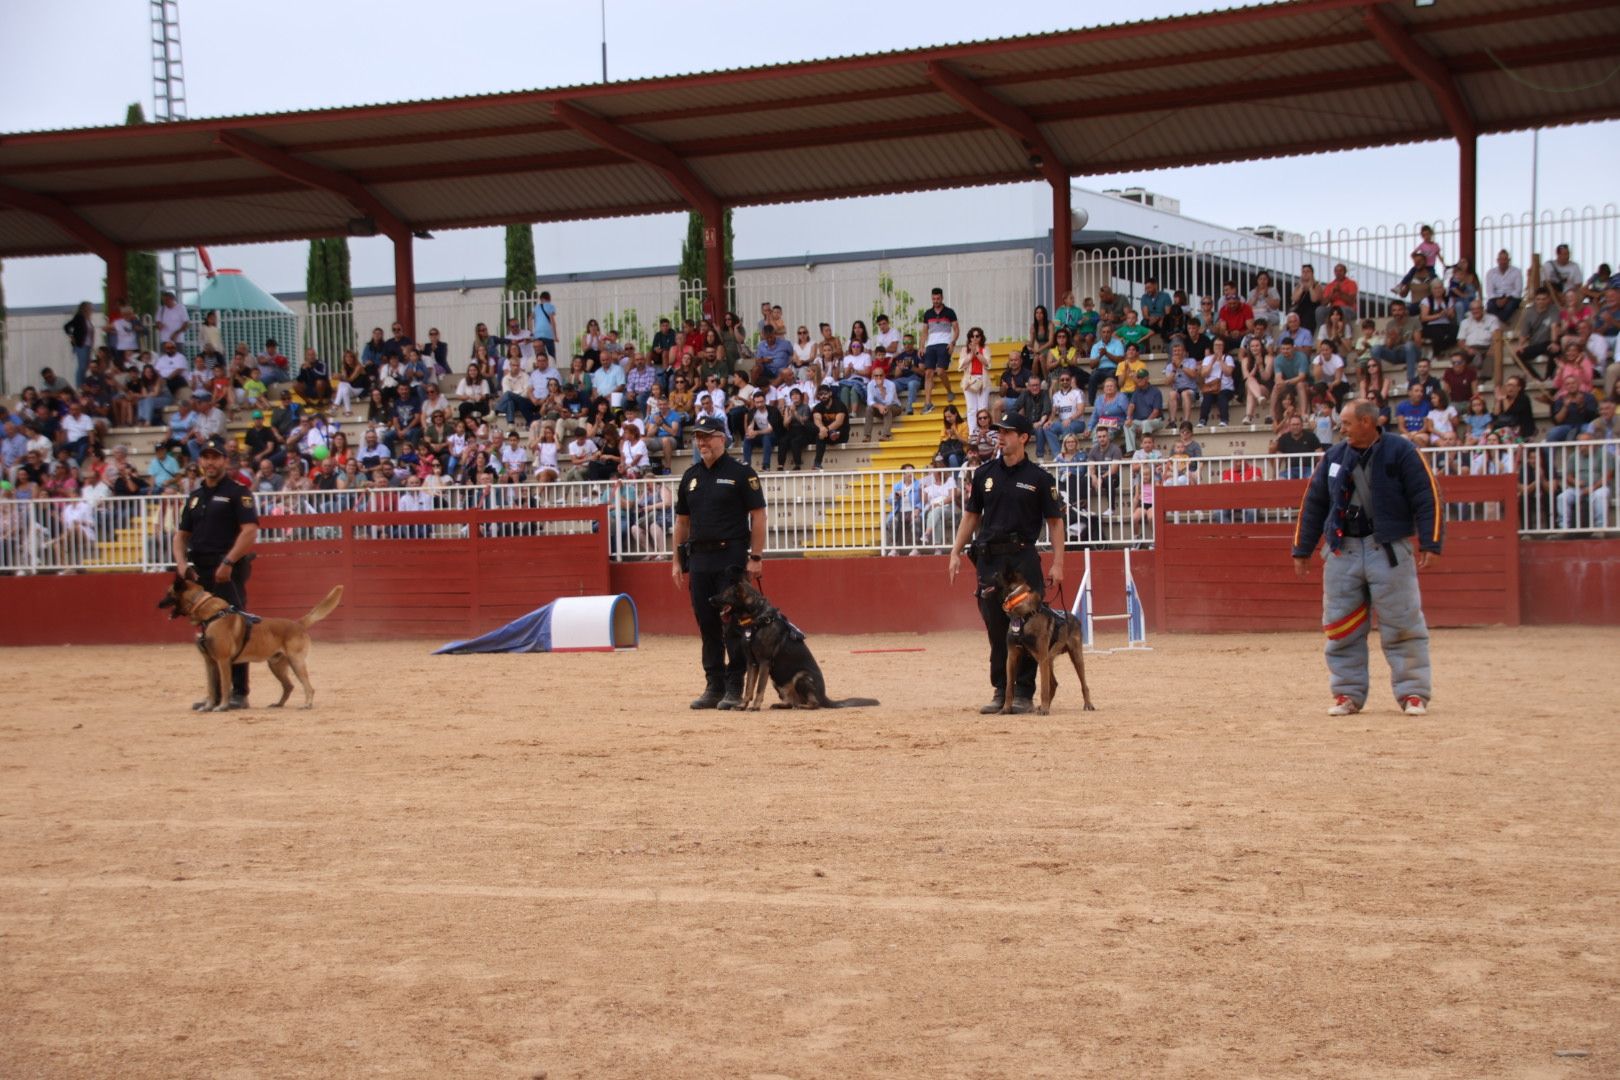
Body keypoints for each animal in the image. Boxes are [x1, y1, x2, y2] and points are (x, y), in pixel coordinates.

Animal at [159, 573, 343, 709]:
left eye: (168, 593)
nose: (158, 604)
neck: (210, 614)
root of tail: (298, 623)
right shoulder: (210, 663)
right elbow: (211, 688)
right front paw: (208, 706)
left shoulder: (223, 661)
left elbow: (224, 686)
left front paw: (222, 706)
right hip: (276, 665)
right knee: (289, 686)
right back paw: (278, 704)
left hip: (296, 662)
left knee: (309, 687)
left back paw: (307, 704)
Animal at [712, 569, 881, 712]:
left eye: (724, 594)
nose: (709, 598)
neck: (756, 618)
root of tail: (825, 697)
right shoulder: (752, 663)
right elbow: (748, 688)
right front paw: (742, 705)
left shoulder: (764, 662)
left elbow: (759, 688)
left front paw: (755, 706)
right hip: (777, 680)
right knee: (791, 702)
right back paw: (784, 705)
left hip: (801, 677)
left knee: (814, 704)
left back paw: (802, 706)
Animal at [991, 566, 1095, 718]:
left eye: (995, 575)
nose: (978, 580)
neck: (1023, 615)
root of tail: (1074, 618)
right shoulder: (1012, 658)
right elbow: (1009, 688)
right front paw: (1006, 709)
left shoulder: (1041, 657)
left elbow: (1043, 688)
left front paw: (1045, 709)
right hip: (1049, 659)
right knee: (1054, 683)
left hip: (1074, 657)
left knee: (1083, 684)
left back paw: (1087, 704)